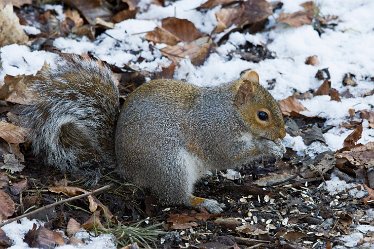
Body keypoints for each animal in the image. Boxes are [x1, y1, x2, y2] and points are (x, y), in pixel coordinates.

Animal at [24, 55, 286, 213]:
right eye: (263, 115)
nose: (283, 133)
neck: (230, 112)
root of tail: (126, 167)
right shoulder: (214, 131)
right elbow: (227, 155)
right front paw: (268, 146)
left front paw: (280, 146)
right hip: (170, 166)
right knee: (176, 197)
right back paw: (204, 202)